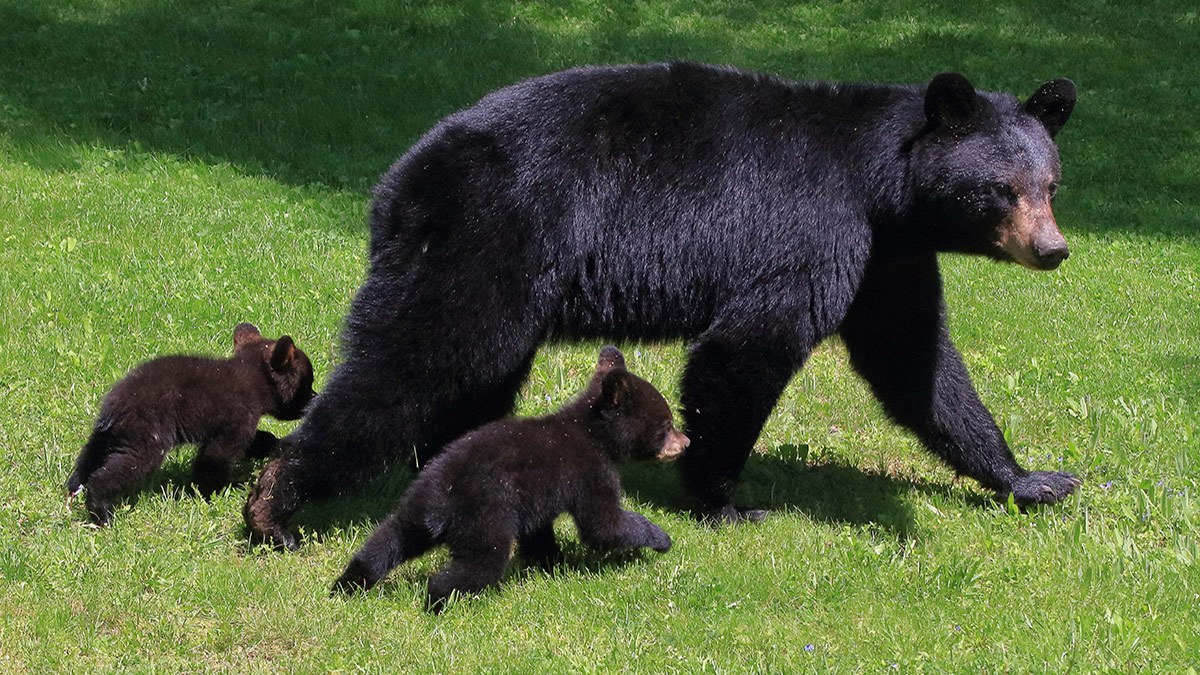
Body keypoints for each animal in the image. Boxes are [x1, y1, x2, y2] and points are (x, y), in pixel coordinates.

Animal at [68, 323, 316, 525]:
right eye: (307, 383)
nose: (315, 398)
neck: (254, 380)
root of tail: (115, 404)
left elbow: (251, 441)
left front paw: (269, 443)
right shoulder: (238, 418)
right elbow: (216, 456)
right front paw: (207, 493)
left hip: (105, 435)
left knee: (88, 458)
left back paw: (74, 488)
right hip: (145, 437)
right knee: (115, 470)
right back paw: (101, 512)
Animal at [244, 62, 1080, 549]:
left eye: (1051, 183)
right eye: (1002, 188)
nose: (1054, 248)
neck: (881, 183)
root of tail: (396, 185)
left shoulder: (889, 256)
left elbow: (917, 361)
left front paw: (1031, 477)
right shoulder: (816, 229)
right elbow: (745, 350)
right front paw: (723, 501)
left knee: (472, 378)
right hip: (486, 240)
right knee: (416, 357)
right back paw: (277, 501)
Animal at [332, 346, 688, 609]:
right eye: (665, 425)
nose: (685, 441)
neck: (593, 433)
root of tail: (437, 505)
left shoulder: (536, 498)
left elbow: (539, 531)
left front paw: (552, 562)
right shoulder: (589, 471)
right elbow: (603, 524)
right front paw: (659, 537)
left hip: (411, 511)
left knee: (383, 544)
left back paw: (346, 585)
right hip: (484, 520)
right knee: (478, 564)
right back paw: (438, 603)